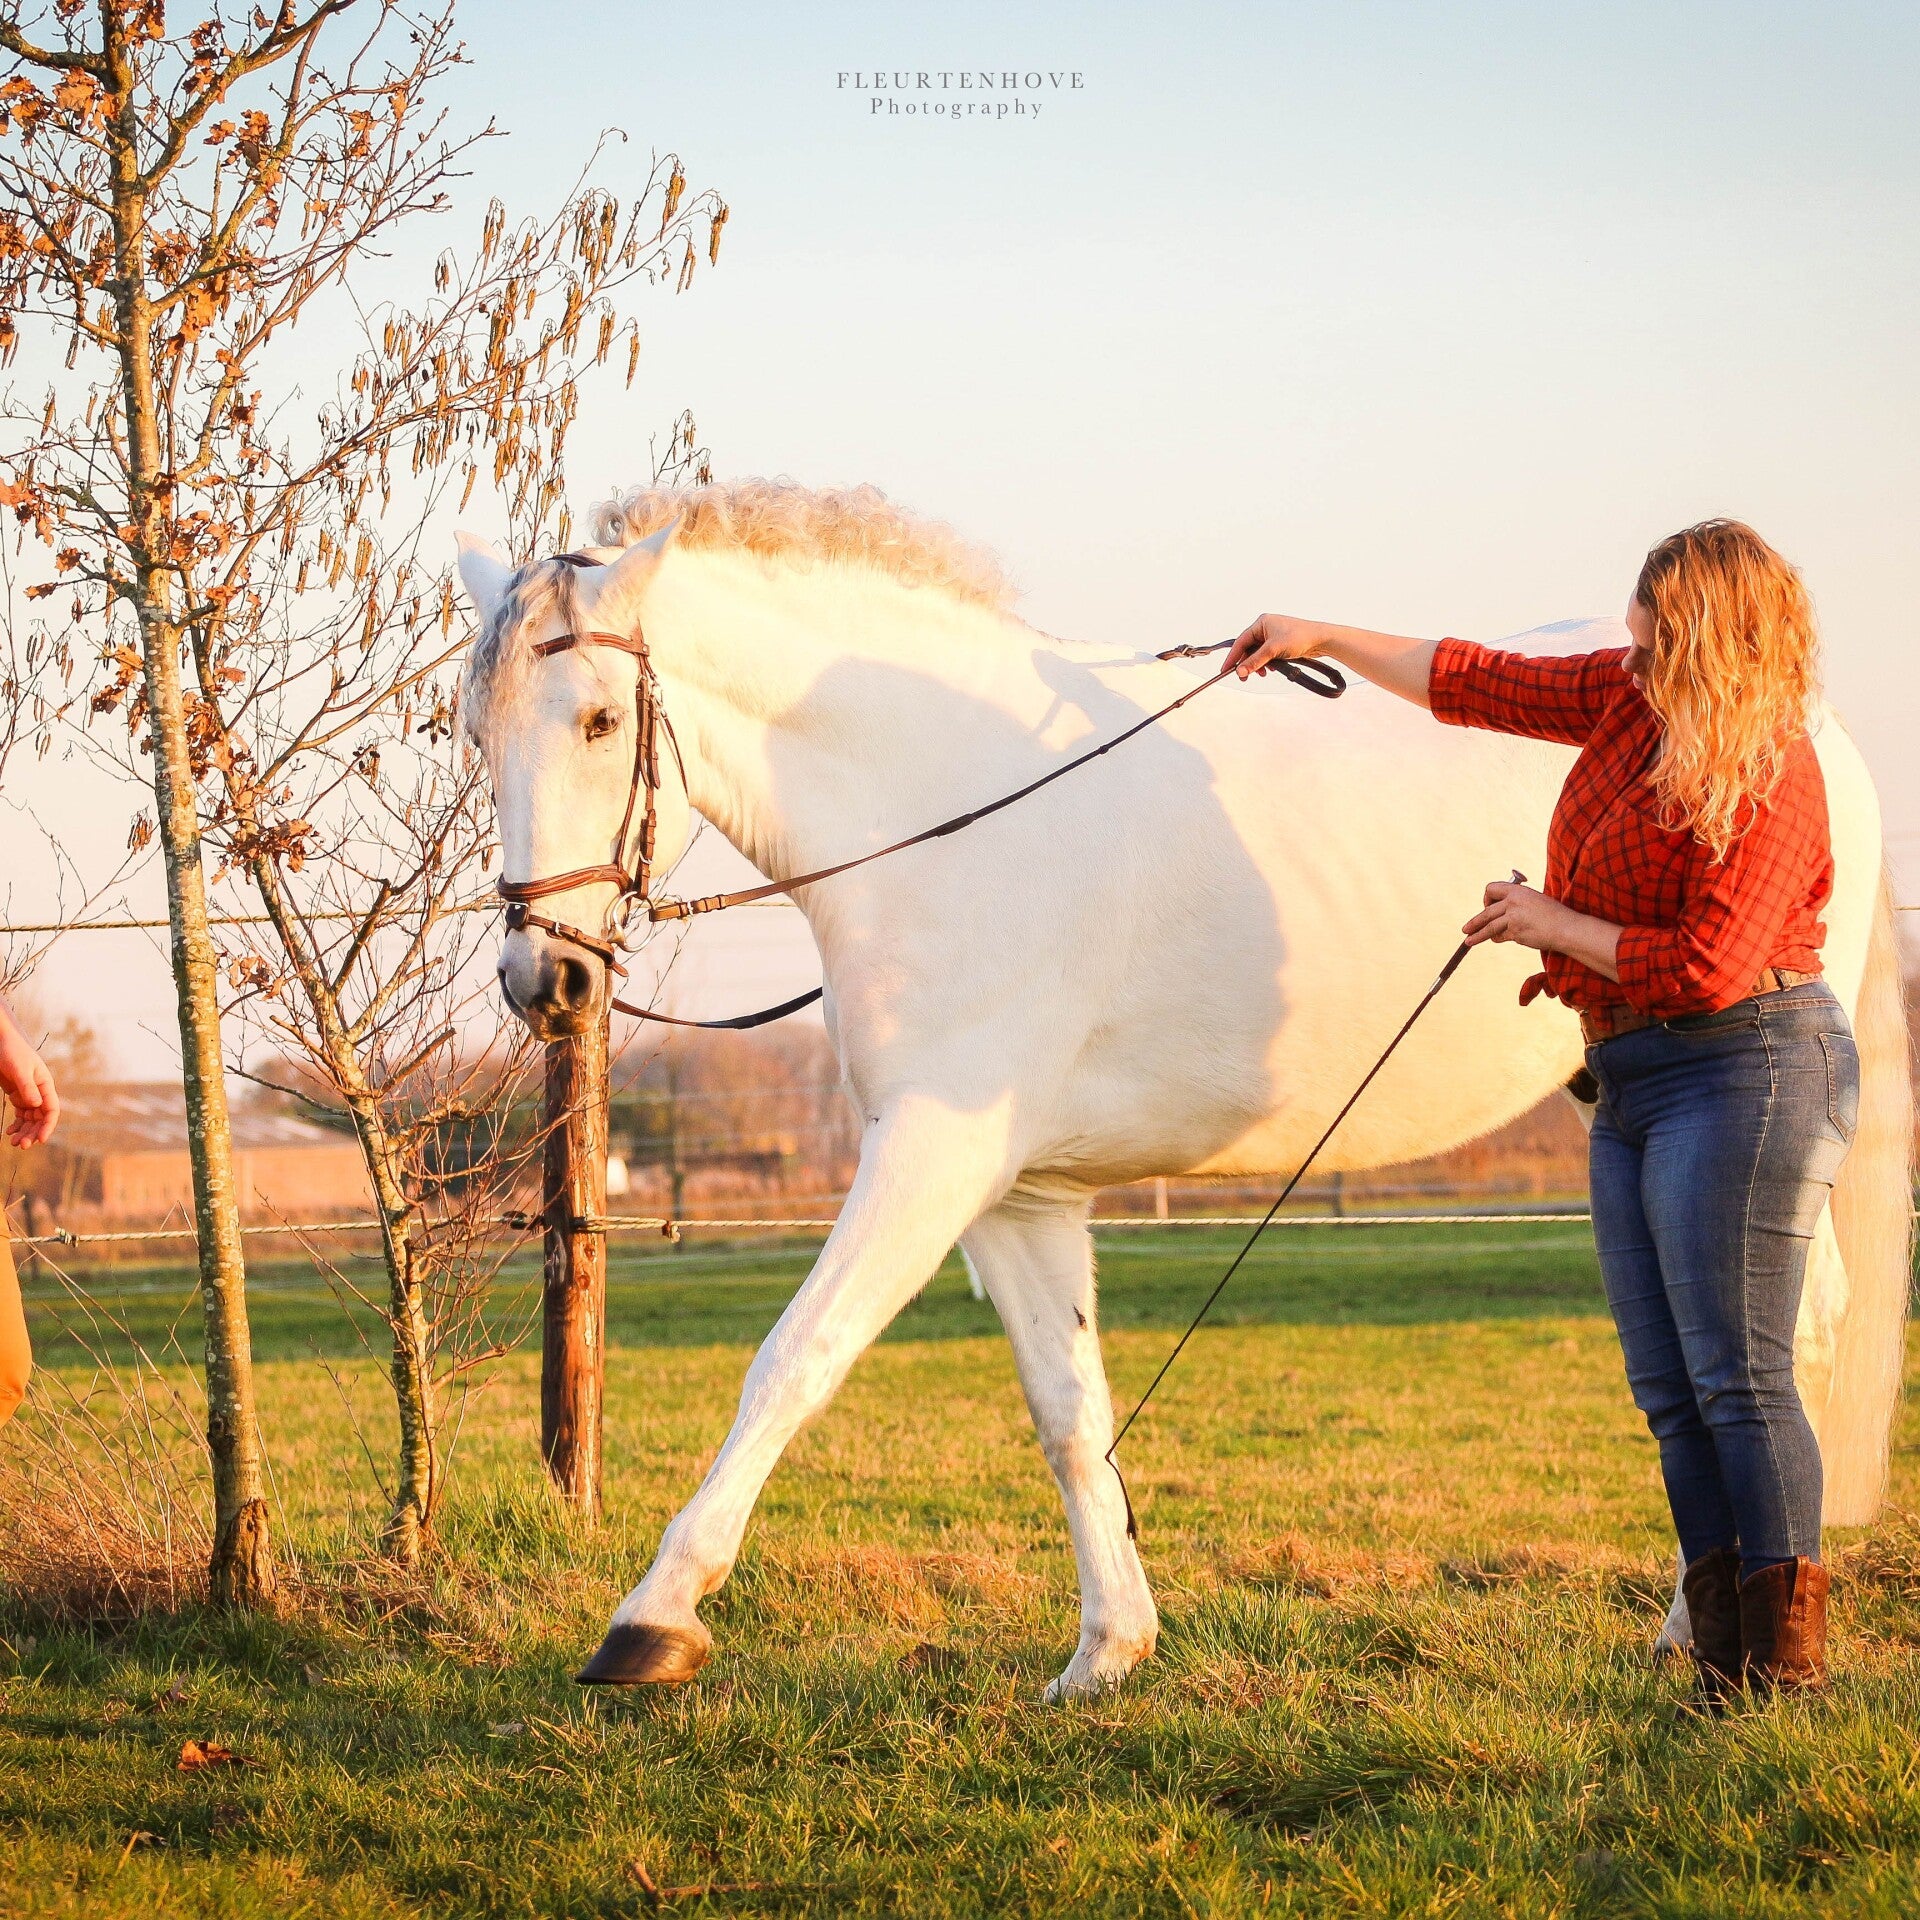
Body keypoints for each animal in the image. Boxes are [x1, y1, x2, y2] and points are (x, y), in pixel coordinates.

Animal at [456, 480, 1911, 1700]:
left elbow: (792, 1363)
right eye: (478, 732)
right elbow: (1068, 1415)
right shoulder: (1017, 1199)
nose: (546, 982)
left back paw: (1705, 1632)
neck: (955, 810)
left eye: (599, 721)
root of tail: (1808, 716)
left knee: (1778, 1341)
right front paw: (1109, 1650)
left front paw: (650, 1620)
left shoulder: (928, 1158)